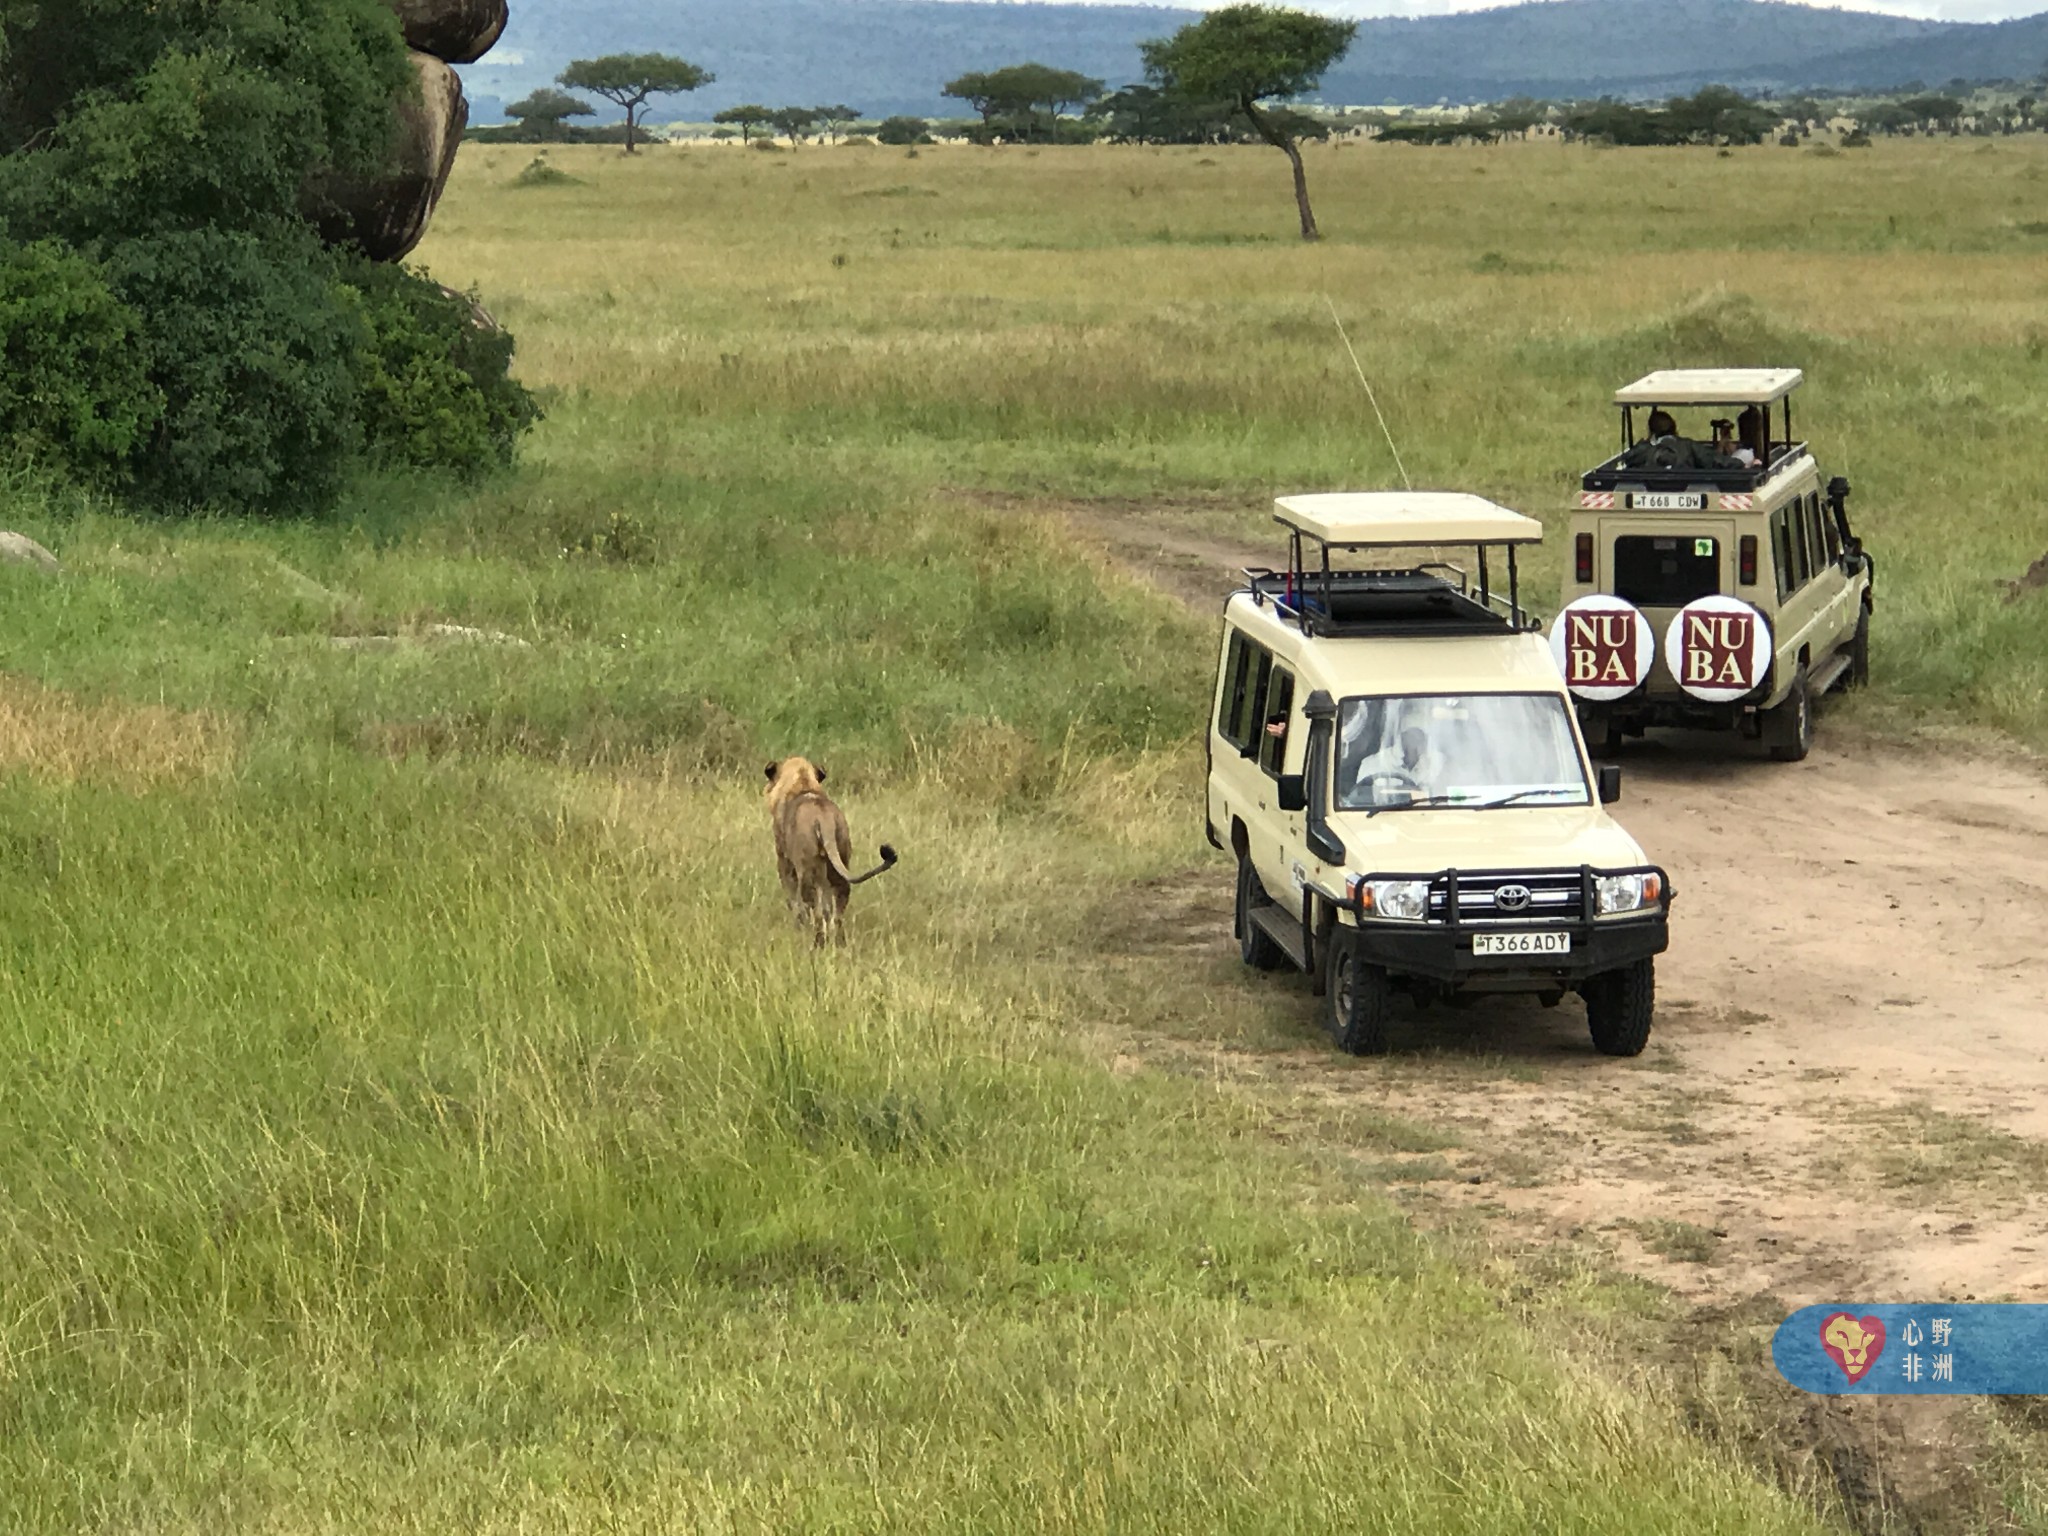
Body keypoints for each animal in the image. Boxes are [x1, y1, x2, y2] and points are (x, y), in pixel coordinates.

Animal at [761, 753, 897, 946]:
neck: (802, 783)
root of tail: (823, 818)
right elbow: (826, 907)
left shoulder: (784, 861)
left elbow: (793, 900)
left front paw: (799, 926)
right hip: (837, 864)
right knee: (838, 908)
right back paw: (839, 942)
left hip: (807, 871)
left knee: (815, 910)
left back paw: (818, 942)